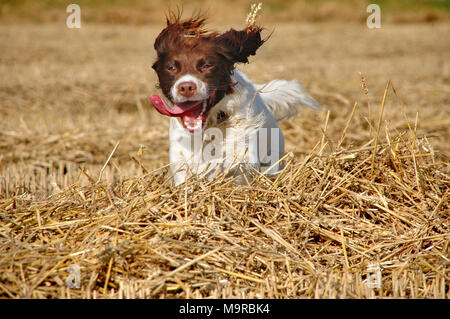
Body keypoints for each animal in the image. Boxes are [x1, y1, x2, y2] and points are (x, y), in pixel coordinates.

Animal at [149, 13, 318, 188]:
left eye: (207, 65)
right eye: (171, 68)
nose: (186, 87)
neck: (210, 125)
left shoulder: (243, 150)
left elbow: (227, 163)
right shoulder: (181, 156)